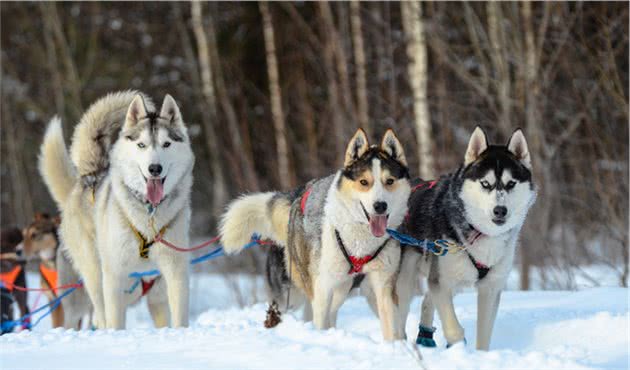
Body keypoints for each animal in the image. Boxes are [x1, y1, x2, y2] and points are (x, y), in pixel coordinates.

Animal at [40, 91, 193, 328]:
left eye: (166, 144)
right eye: (141, 145)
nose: (154, 169)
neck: (148, 214)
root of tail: (88, 178)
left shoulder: (173, 274)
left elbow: (178, 319)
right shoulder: (114, 276)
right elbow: (114, 321)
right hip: (94, 279)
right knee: (99, 315)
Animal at [222, 130, 414, 342]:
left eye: (389, 181)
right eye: (364, 182)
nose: (380, 206)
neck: (360, 242)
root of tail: (297, 196)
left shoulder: (383, 286)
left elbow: (391, 328)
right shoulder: (323, 287)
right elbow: (320, 318)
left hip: (343, 289)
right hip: (294, 292)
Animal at [396, 127, 540, 350]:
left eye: (511, 184)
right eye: (485, 184)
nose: (500, 210)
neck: (481, 233)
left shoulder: (490, 288)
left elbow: (484, 335)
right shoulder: (442, 282)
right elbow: (453, 329)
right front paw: (458, 347)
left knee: (427, 300)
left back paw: (425, 337)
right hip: (407, 278)